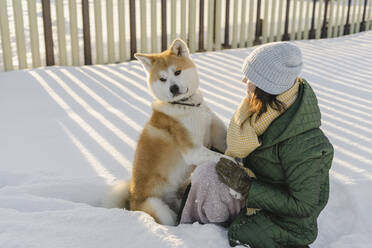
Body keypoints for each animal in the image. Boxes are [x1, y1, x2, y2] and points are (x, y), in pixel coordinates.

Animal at [103, 38, 228, 225]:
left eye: (177, 72)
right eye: (162, 79)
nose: (173, 88)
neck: (187, 106)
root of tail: (132, 202)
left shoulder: (215, 135)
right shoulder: (193, 151)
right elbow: (222, 157)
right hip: (160, 210)